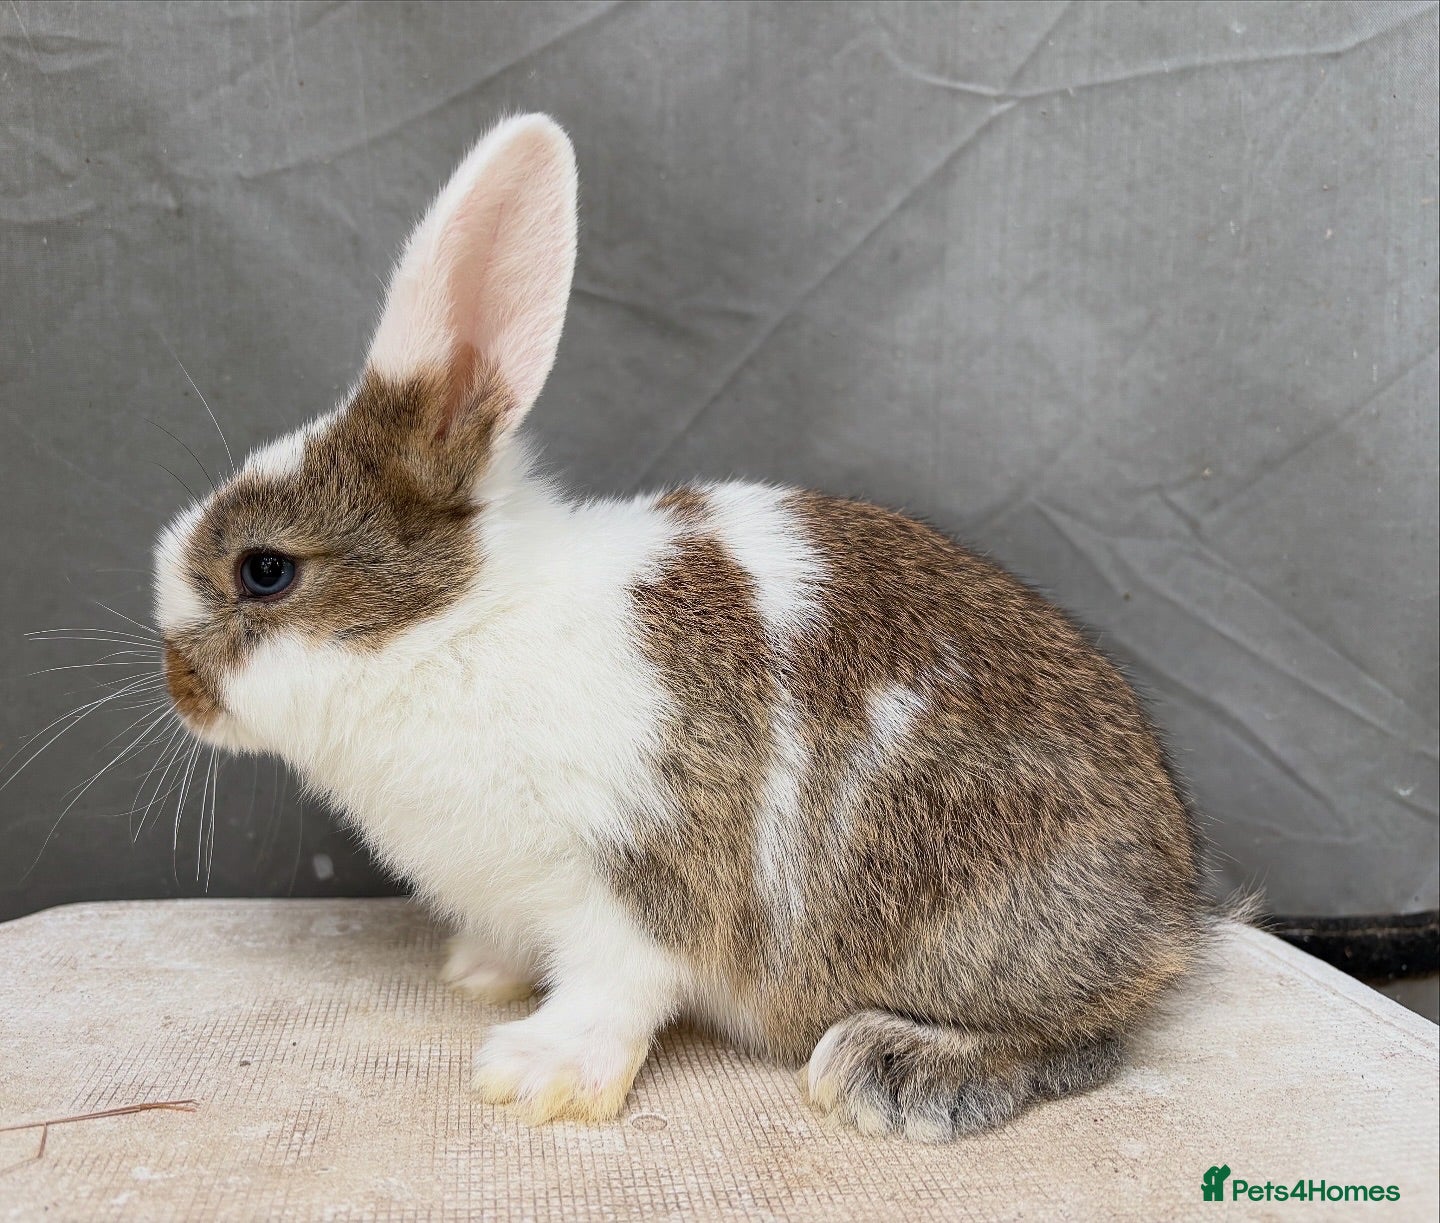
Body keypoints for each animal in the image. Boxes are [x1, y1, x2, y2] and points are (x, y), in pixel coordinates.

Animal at [152, 113, 1206, 1142]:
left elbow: (614, 991)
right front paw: (480, 973)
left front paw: (532, 1078)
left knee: (1086, 1037)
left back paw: (893, 1069)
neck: (456, 624)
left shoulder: (637, 884)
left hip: (968, 913)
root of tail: (1171, 907)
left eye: (264, 571)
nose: (178, 685)